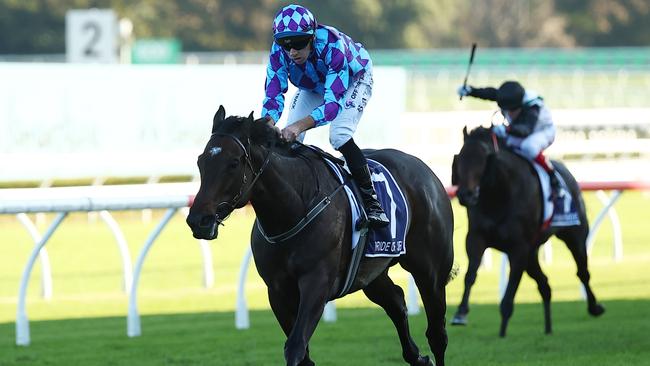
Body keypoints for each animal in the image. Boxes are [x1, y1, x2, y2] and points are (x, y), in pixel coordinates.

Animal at [185, 106, 454, 366]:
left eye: (233, 163)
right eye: (200, 161)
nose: (198, 220)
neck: (292, 210)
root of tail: (425, 170)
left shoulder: (317, 283)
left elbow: (295, 347)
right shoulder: (278, 291)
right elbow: (302, 354)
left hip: (431, 271)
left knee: (437, 333)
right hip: (371, 274)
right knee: (397, 302)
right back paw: (418, 358)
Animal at [450, 126, 604, 338]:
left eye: (483, 158)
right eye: (461, 157)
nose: (466, 195)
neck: (498, 195)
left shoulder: (519, 248)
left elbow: (511, 288)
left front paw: (502, 331)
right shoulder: (476, 238)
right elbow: (470, 274)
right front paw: (460, 313)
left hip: (575, 237)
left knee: (582, 272)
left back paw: (594, 307)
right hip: (532, 254)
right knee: (545, 284)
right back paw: (548, 328)